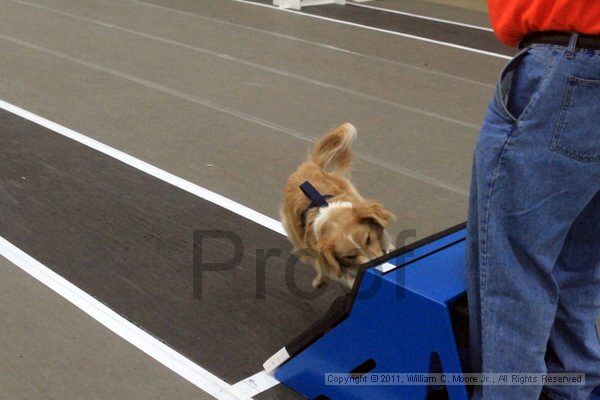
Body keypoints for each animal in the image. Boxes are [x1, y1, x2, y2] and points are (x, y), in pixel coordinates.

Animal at [280, 123, 394, 290]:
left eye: (368, 239)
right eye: (350, 256)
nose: (376, 268)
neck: (332, 218)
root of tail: (307, 165)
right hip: (297, 238)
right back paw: (319, 280)